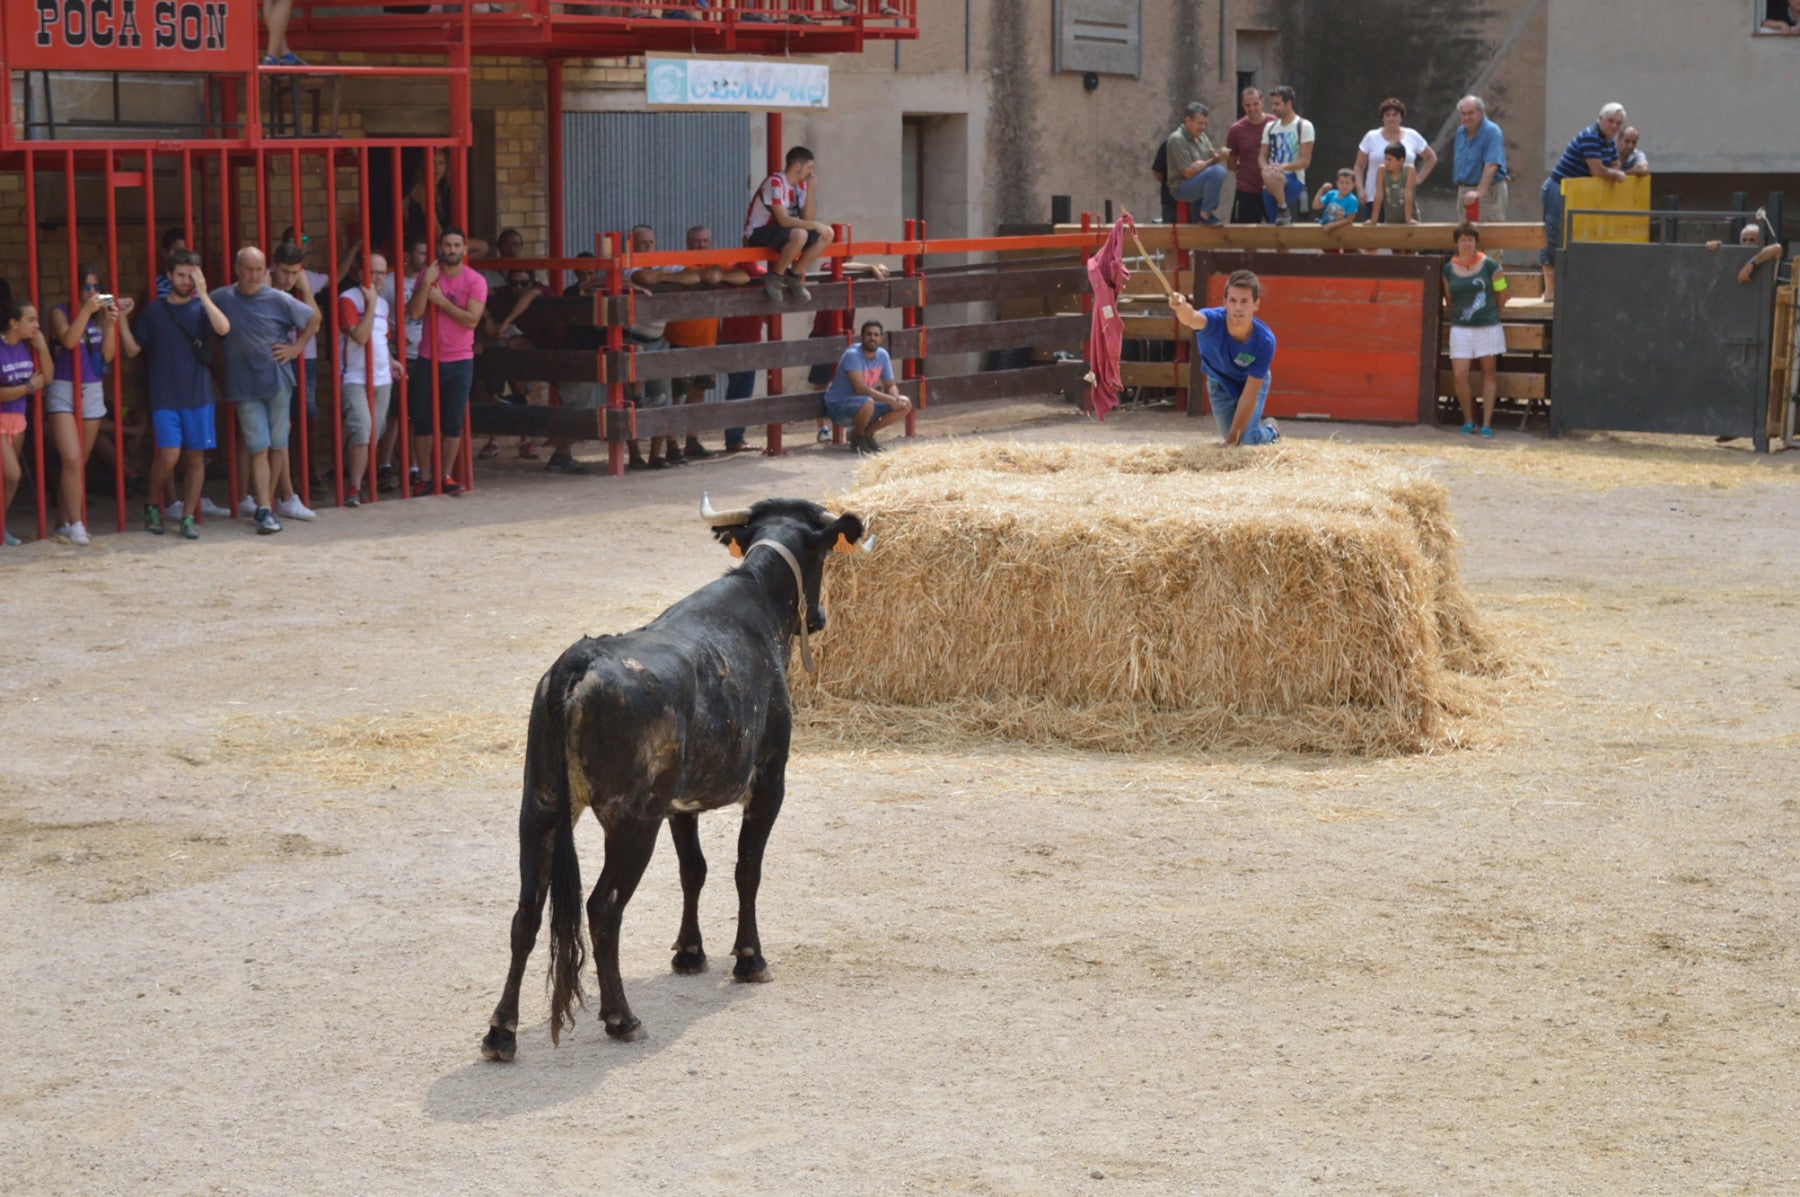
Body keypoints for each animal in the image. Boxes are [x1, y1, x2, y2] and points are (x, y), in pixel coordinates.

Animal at [486, 493, 864, 1058]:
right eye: (825, 558)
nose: (818, 617)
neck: (755, 596)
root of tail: (580, 661)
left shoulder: (680, 805)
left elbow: (695, 869)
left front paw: (689, 952)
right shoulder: (769, 779)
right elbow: (746, 868)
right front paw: (749, 959)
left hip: (541, 807)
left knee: (527, 911)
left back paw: (501, 1032)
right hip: (631, 823)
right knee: (603, 908)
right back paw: (621, 1018)